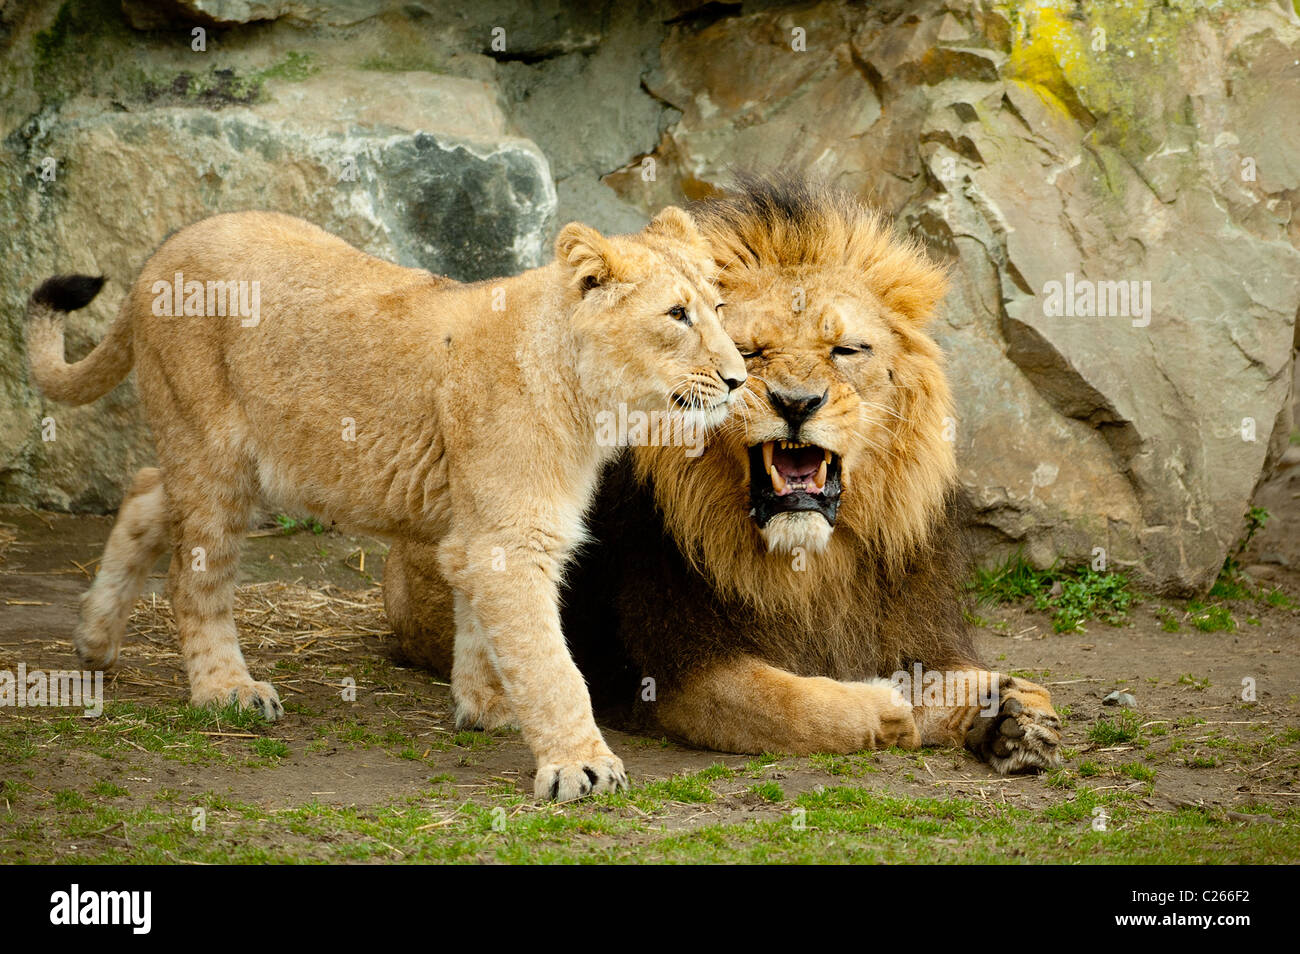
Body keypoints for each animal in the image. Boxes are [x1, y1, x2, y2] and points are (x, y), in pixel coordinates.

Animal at [379, 178, 1060, 779]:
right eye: (750, 352)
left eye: (846, 351)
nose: (797, 402)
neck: (813, 569)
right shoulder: (682, 671)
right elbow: (797, 706)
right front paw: (892, 709)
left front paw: (1012, 710)